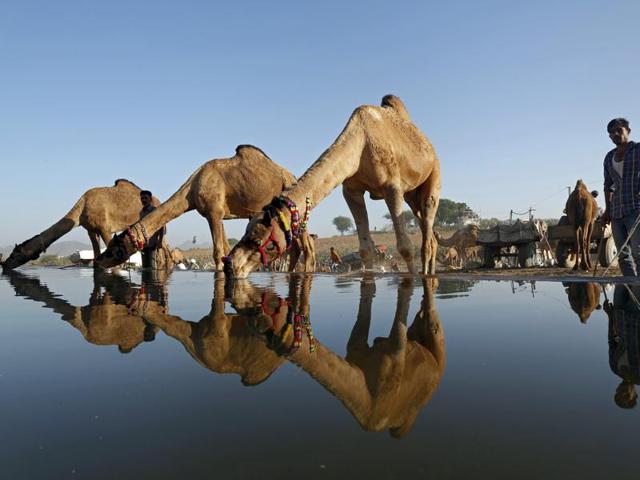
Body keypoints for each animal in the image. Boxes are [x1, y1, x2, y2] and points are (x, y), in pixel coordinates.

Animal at [2, 179, 156, 271]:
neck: (82, 209)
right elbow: (96, 256)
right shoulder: (91, 230)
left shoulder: (105, 228)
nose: (4, 265)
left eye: (14, 254)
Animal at [94, 145, 315, 272]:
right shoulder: (219, 215)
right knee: (296, 246)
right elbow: (225, 248)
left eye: (115, 250)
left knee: (307, 245)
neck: (192, 190)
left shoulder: (213, 212)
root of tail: (292, 176)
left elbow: (218, 250)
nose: (98, 262)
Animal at [224, 95, 441, 278]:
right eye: (245, 231)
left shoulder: (392, 187)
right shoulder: (351, 190)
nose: (230, 265)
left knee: (428, 217)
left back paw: (427, 274)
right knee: (428, 233)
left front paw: (412, 277)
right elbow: (365, 249)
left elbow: (405, 247)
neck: (360, 145)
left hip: (434, 175)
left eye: (262, 242)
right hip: (411, 195)